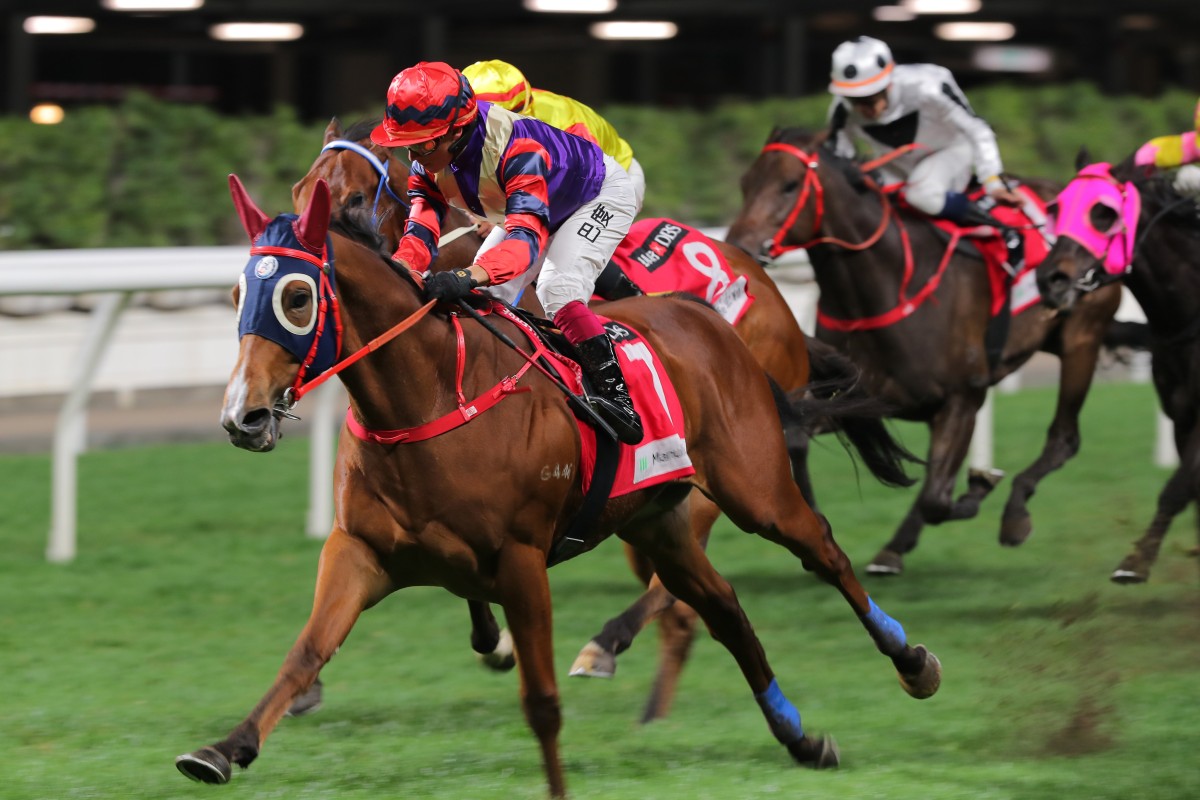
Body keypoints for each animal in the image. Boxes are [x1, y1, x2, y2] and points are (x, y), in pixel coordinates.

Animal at [174, 178, 940, 796]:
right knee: (721, 607)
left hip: (754, 489)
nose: (242, 417)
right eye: (236, 295)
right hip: (657, 521)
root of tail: (708, 317)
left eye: (297, 296)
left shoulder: (520, 562)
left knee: (824, 551)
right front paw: (223, 748)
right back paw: (800, 738)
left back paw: (913, 662)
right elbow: (304, 654)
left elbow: (539, 700)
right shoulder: (359, 549)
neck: (428, 397)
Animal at [288, 115, 916, 724]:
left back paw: (609, 648)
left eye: (354, 197)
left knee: (689, 581)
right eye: (299, 190)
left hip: (715, 471)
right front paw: (486, 639)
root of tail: (768, 292)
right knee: (687, 597)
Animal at [724, 126, 1128, 575]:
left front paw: (979, 489)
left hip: (1081, 339)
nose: (738, 247)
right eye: (745, 183)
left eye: (790, 184)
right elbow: (796, 440)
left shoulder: (963, 397)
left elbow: (938, 498)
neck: (884, 287)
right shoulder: (857, 398)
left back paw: (1011, 516)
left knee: (1063, 439)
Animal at [1032, 153, 1200, 585]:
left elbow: (1176, 488)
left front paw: (1135, 562)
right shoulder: (1181, 417)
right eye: (1057, 208)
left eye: (1103, 213)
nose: (1051, 278)